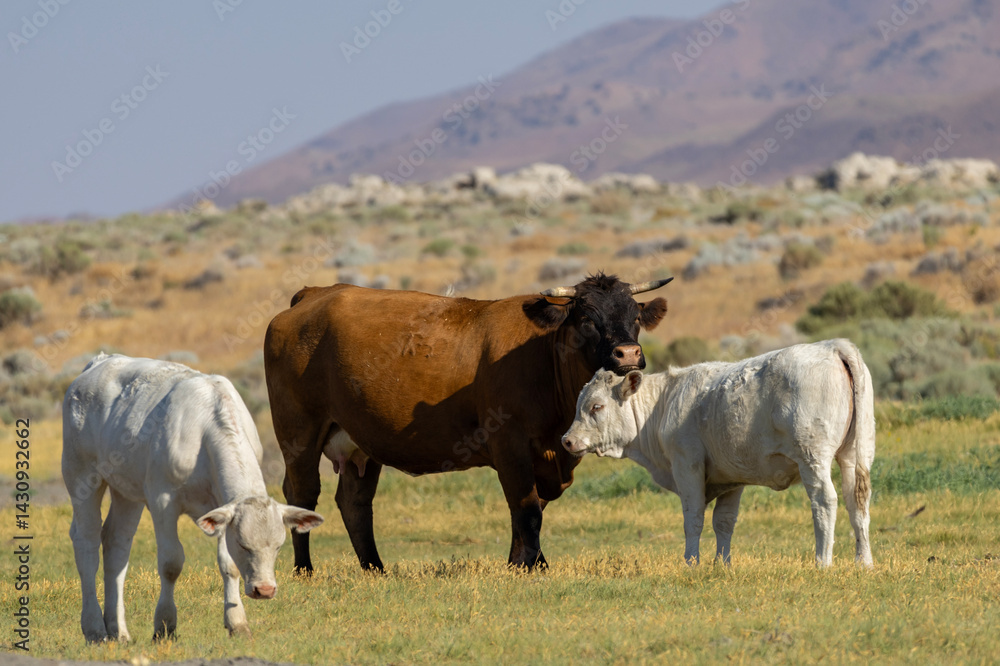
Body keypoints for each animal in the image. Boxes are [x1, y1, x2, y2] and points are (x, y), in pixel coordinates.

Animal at [62, 353, 324, 642]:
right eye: (243, 545)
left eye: (278, 547)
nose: (264, 590)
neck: (205, 433)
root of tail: (101, 361)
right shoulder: (163, 501)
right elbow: (171, 562)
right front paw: (164, 625)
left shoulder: (221, 508)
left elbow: (228, 564)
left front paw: (237, 622)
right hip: (80, 474)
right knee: (86, 541)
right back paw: (95, 628)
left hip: (126, 490)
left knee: (116, 544)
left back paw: (118, 631)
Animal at [263, 273, 671, 573]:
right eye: (587, 319)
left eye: (635, 317)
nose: (628, 354)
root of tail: (316, 293)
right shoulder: (509, 445)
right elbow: (526, 508)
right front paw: (533, 565)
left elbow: (528, 509)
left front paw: (519, 563)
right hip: (298, 432)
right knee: (302, 494)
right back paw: (304, 569)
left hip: (360, 441)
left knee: (354, 502)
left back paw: (375, 569)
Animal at [561, 339, 875, 568]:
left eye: (596, 406)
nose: (567, 440)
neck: (664, 403)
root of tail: (832, 346)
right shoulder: (732, 477)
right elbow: (723, 522)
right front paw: (722, 564)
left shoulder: (687, 465)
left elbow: (693, 519)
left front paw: (691, 563)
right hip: (854, 455)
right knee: (856, 501)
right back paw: (864, 562)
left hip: (813, 457)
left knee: (825, 501)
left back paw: (823, 562)